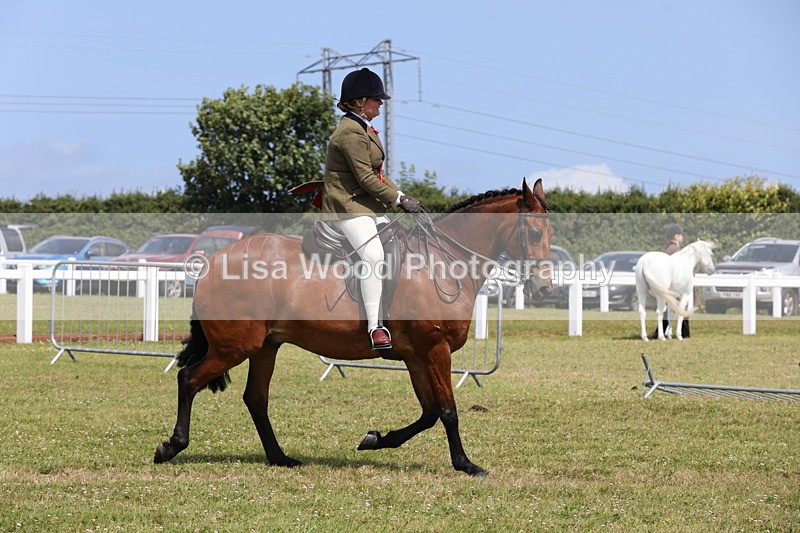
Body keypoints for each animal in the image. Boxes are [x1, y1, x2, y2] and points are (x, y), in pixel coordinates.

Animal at [153, 178, 553, 476]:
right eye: (534, 234)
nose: (545, 288)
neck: (441, 262)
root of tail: (213, 261)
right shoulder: (434, 350)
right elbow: (448, 411)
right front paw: (465, 464)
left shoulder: (417, 357)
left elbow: (428, 412)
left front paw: (375, 439)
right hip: (235, 347)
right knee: (188, 379)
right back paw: (171, 446)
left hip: (266, 346)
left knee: (255, 398)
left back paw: (280, 458)